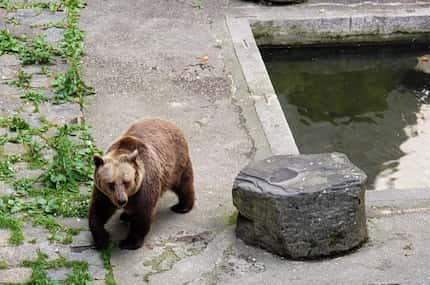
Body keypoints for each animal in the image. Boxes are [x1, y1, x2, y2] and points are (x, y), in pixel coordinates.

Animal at [90, 117, 196, 248]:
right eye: (110, 183)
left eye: (126, 182)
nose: (121, 200)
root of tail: (167, 121)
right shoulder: (104, 193)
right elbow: (99, 209)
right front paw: (102, 238)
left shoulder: (144, 186)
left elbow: (143, 214)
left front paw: (128, 242)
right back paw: (125, 216)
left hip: (177, 164)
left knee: (183, 185)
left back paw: (182, 207)